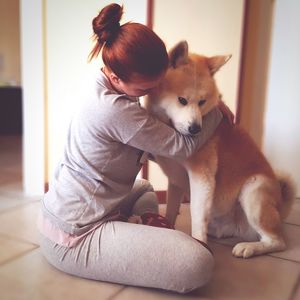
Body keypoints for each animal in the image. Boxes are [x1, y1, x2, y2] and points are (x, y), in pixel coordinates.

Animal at [145, 41, 296, 258]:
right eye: (182, 100)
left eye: (202, 102)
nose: (196, 129)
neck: (168, 127)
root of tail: (281, 208)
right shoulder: (175, 181)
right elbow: (172, 210)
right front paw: (167, 227)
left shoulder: (202, 177)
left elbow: (197, 216)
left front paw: (199, 244)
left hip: (254, 190)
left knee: (277, 241)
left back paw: (249, 247)